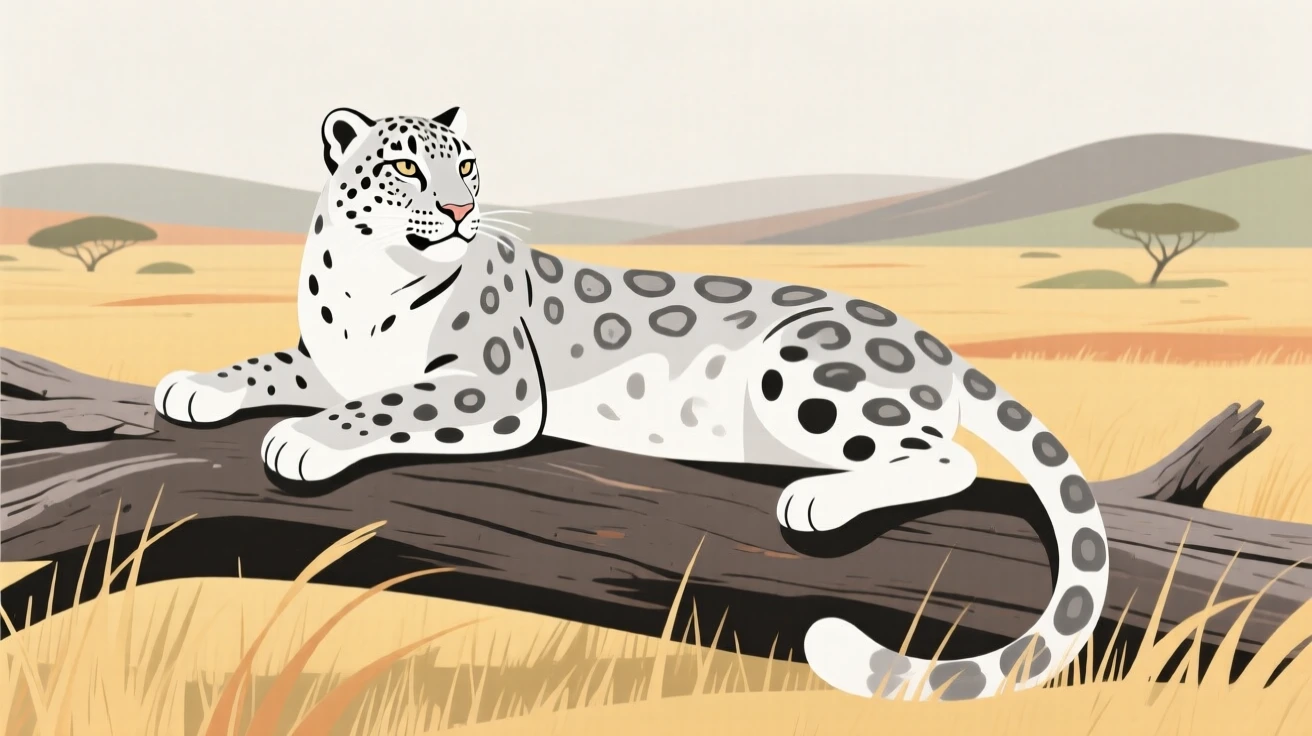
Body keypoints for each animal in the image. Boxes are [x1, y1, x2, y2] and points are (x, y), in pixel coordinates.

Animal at [154, 106, 1109, 701]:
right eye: (401, 166)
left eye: (466, 165)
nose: (460, 209)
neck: (364, 285)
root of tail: (933, 342)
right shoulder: (330, 359)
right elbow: (269, 364)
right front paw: (196, 386)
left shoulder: (490, 384)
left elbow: (386, 405)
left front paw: (305, 440)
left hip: (802, 364)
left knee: (946, 457)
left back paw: (818, 500)